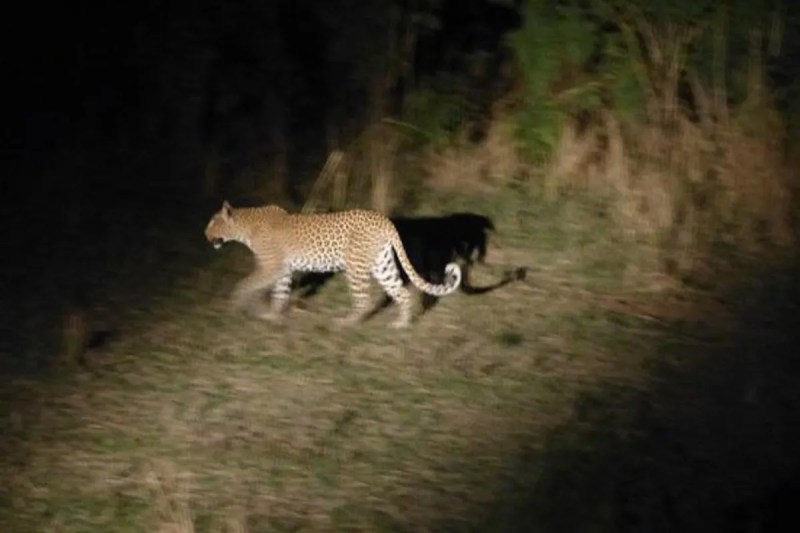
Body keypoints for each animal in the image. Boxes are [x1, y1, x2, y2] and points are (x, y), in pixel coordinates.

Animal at [204, 201, 462, 328]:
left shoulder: (271, 266)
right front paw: (273, 317)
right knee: (402, 293)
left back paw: (346, 323)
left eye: (213, 223)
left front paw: (236, 302)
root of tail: (384, 220)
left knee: (364, 300)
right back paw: (401, 324)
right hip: (383, 264)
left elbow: (245, 284)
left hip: (354, 266)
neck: (245, 227)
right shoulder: (282, 269)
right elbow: (280, 293)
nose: (204, 235)